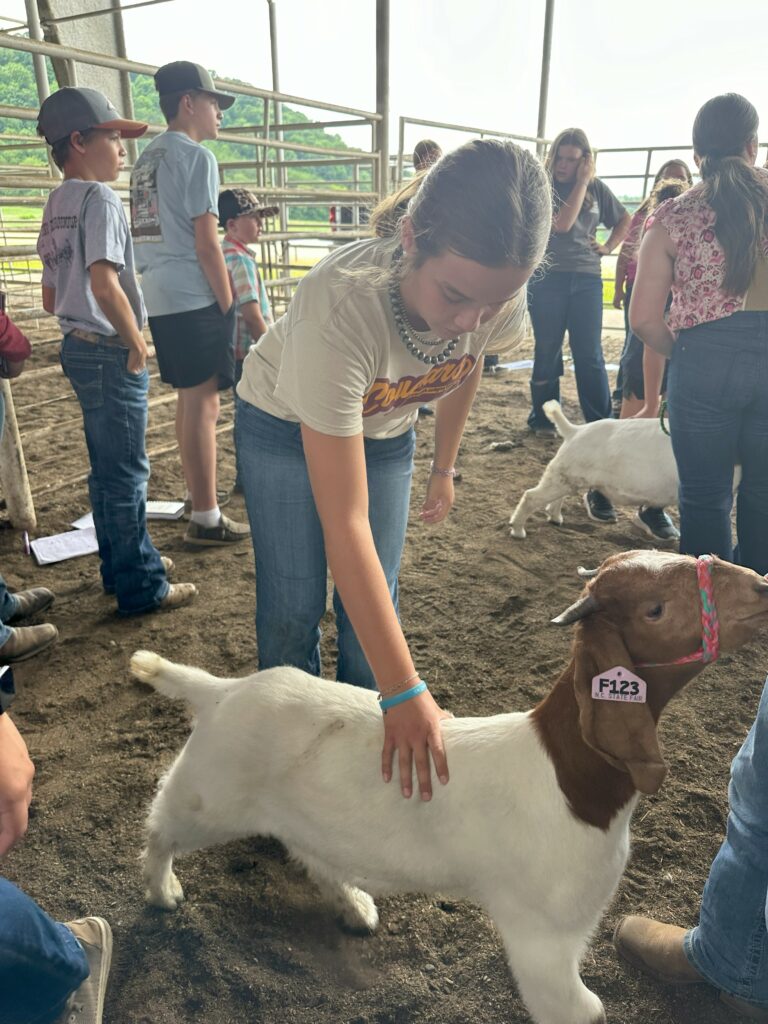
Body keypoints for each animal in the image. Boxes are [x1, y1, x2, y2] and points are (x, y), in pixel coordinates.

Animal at [131, 552, 768, 1024]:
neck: (567, 777)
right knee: (162, 824)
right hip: (210, 790)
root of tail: (222, 691)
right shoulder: (544, 936)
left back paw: (356, 907)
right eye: (655, 609)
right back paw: (164, 891)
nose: (761, 587)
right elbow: (581, 1009)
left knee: (311, 853)